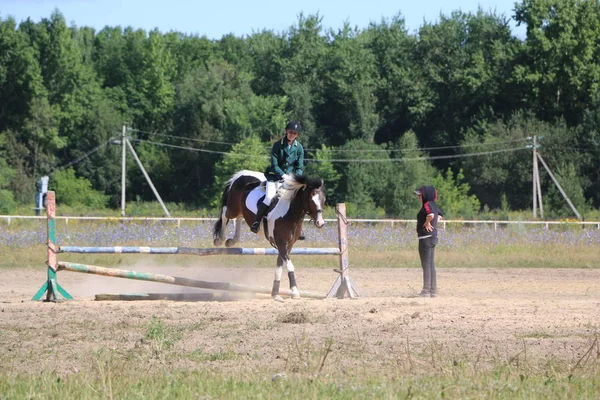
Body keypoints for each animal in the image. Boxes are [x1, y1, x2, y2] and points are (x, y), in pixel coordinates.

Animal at [213, 170, 326, 302]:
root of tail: (241, 174)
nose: (320, 223)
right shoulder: (281, 243)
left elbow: (279, 268)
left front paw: (276, 294)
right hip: (233, 208)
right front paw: (294, 292)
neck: (290, 213)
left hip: (240, 210)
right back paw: (220, 239)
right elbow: (290, 266)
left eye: (323, 200)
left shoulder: (288, 245)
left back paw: (231, 241)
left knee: (239, 218)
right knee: (225, 214)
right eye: (311, 200)